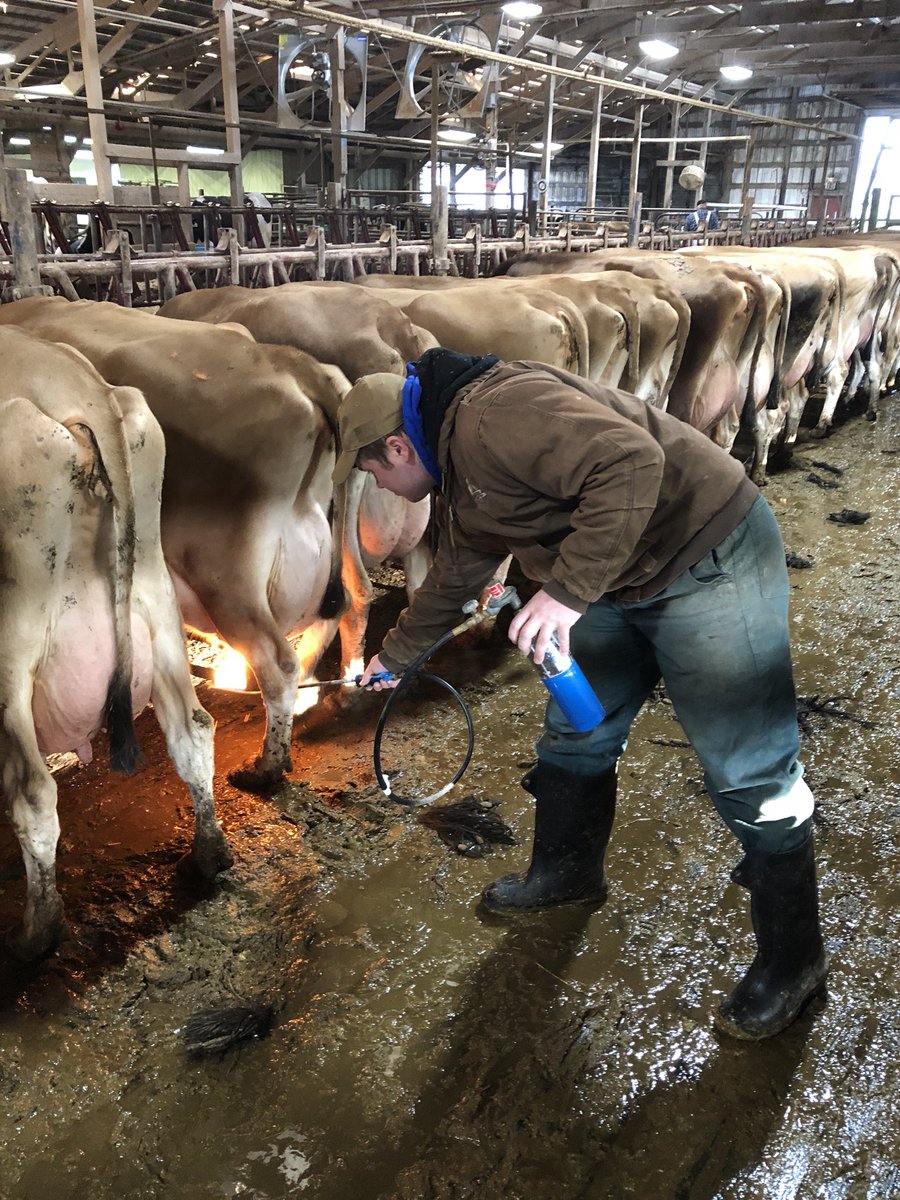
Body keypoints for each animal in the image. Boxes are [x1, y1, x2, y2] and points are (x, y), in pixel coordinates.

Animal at [0, 325, 231, 959]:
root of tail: (77, 382)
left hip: (13, 637)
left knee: (33, 793)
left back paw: (37, 933)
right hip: (154, 594)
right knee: (192, 728)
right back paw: (209, 855)